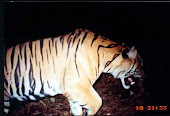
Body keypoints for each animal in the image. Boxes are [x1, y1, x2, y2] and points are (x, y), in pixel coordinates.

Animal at [3, 28, 143, 115]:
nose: (145, 78)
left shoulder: (74, 90)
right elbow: (98, 102)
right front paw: (88, 113)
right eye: (141, 64)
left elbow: (77, 109)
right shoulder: (77, 86)